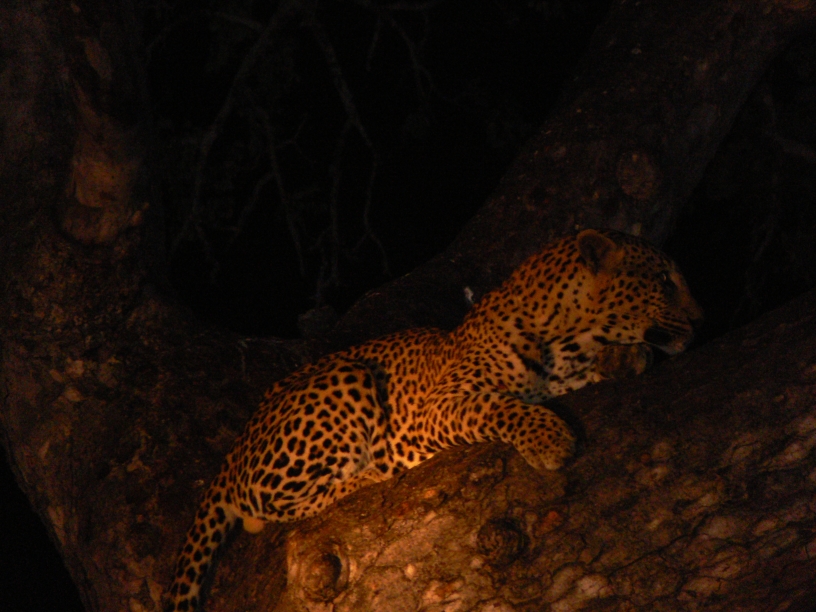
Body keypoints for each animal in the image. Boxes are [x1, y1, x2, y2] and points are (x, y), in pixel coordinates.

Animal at [167, 229, 703, 611]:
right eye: (664, 281)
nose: (700, 319)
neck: (571, 339)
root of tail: (237, 444)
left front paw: (626, 360)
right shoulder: (439, 406)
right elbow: (498, 405)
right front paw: (549, 438)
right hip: (345, 378)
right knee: (263, 504)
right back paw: (367, 476)